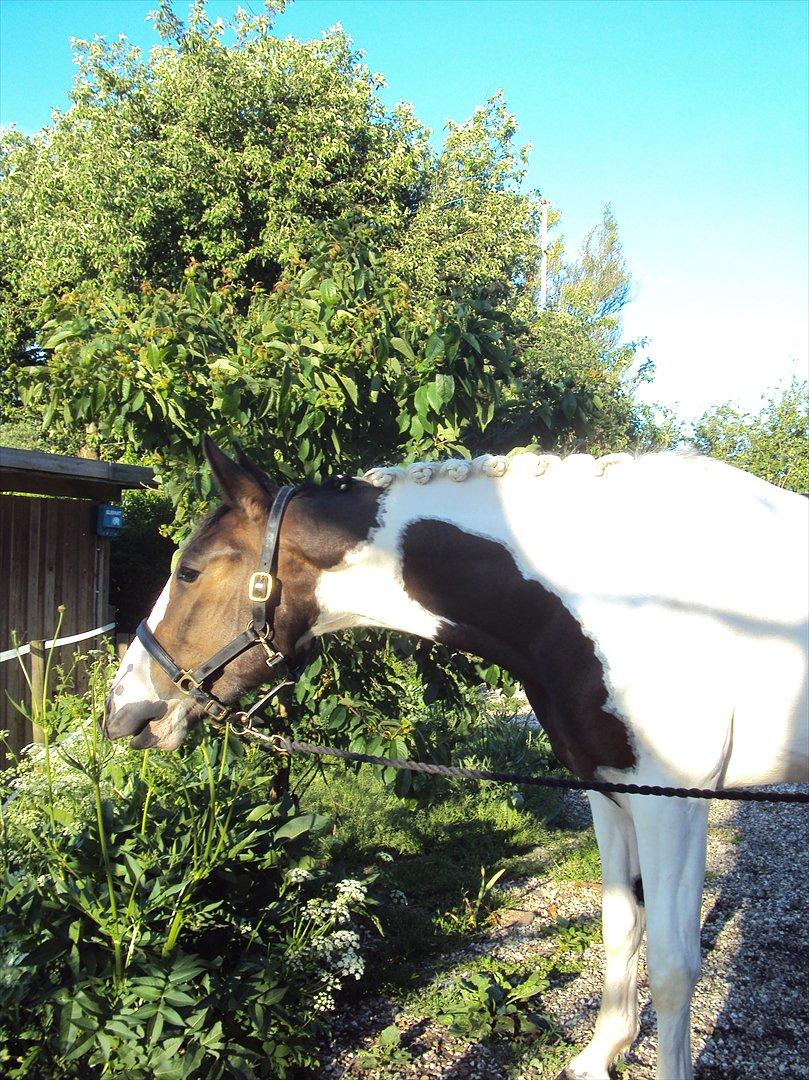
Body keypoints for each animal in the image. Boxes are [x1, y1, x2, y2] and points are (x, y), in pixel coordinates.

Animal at [107, 438, 807, 1080]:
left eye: (189, 571)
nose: (123, 712)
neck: (626, 594)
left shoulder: (676, 802)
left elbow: (672, 965)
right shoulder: (612, 791)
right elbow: (619, 928)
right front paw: (599, 1055)